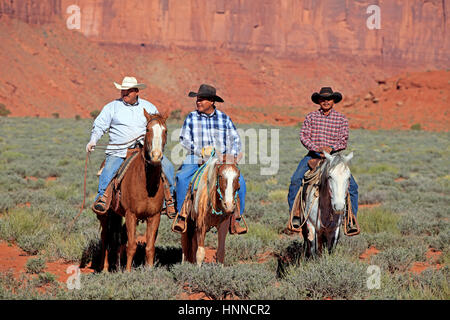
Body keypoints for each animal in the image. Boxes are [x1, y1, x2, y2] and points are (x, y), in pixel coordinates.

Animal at [98, 109, 167, 270]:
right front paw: (128, 272)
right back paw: (105, 269)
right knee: (105, 238)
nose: (156, 156)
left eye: (165, 131)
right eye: (148, 129)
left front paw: (149, 270)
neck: (146, 186)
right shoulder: (131, 214)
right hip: (106, 214)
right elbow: (131, 246)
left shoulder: (154, 216)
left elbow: (149, 247)